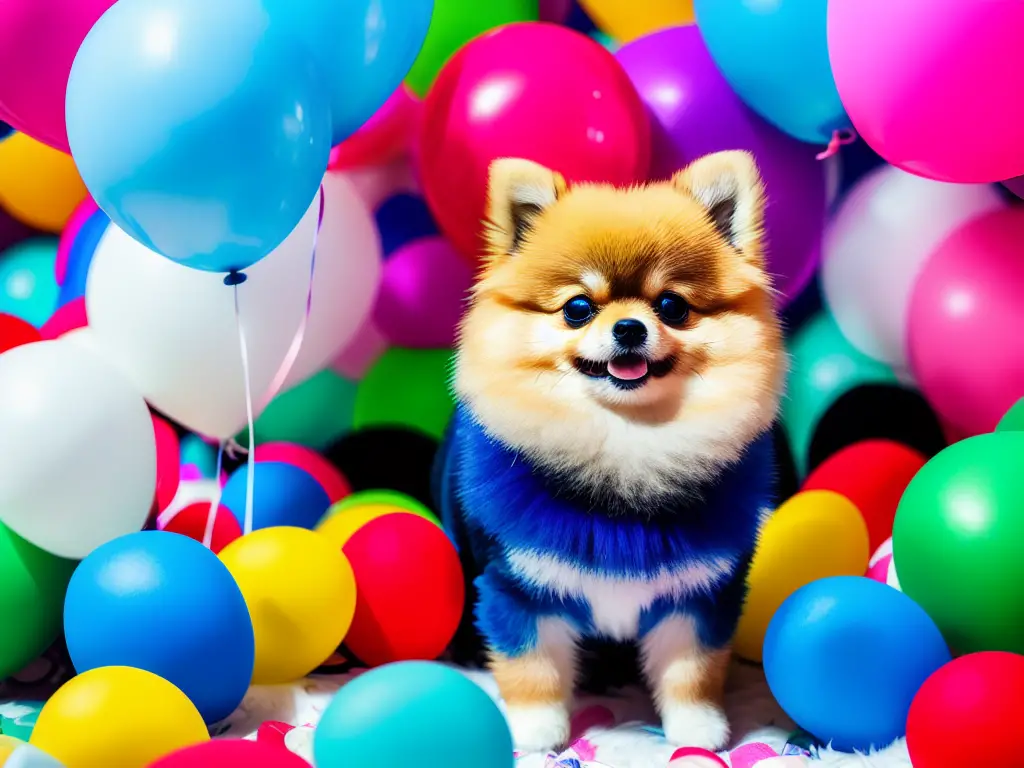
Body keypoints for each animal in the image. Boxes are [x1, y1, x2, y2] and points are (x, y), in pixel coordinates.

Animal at [432, 151, 782, 757]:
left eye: (671, 306)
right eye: (577, 308)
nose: (629, 327)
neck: (626, 442)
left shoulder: (698, 593)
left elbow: (691, 673)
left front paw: (697, 730)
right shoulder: (517, 586)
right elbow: (534, 668)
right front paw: (537, 733)